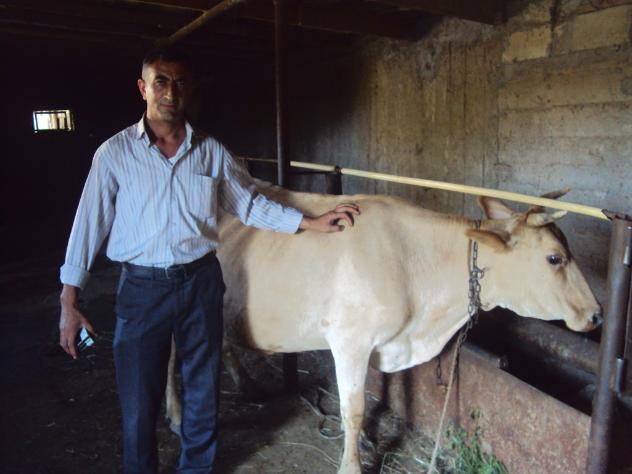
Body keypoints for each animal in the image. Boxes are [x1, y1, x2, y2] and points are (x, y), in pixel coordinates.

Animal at [165, 181, 602, 474]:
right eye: (554, 258)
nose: (597, 314)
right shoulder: (349, 339)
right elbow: (353, 407)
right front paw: (352, 464)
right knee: (171, 360)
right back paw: (176, 415)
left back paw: (247, 385)